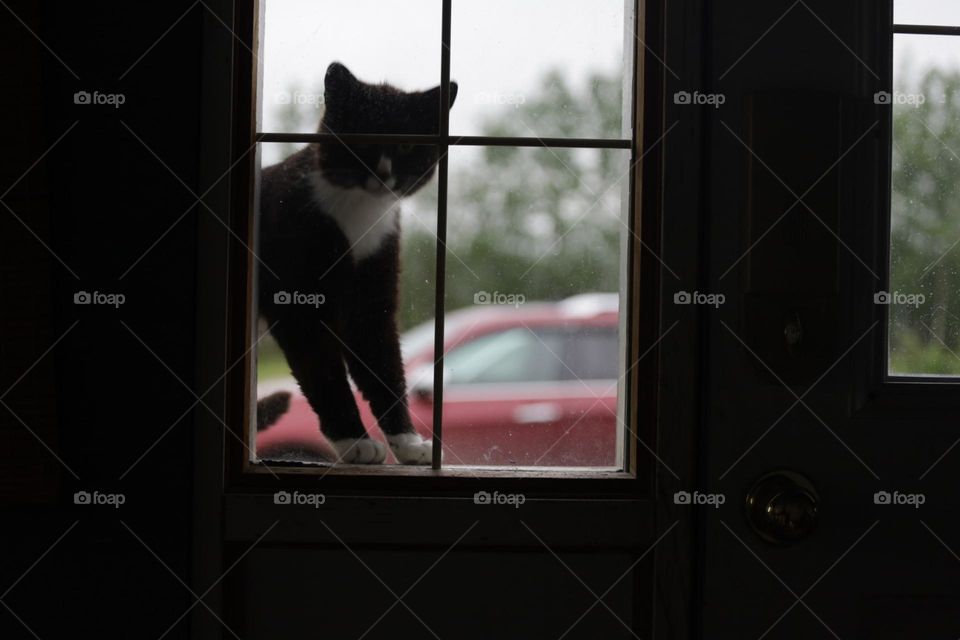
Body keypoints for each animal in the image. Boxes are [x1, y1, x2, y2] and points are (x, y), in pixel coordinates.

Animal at [251, 61, 454, 464]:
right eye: (362, 137)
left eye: (407, 145)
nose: (383, 172)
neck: (359, 211)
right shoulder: (297, 304)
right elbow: (324, 372)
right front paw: (353, 441)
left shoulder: (373, 291)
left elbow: (383, 364)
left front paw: (407, 443)